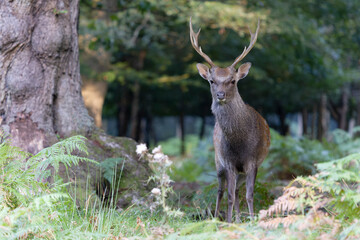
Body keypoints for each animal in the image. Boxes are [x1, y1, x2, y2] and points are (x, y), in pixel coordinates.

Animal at [188, 17, 270, 223]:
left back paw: (240, 218)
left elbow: (249, 194)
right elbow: (230, 195)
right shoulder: (229, 162)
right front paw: (229, 221)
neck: (240, 142)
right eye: (212, 81)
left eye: (232, 81)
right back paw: (217, 217)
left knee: (239, 191)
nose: (220, 95)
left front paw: (250, 220)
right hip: (218, 161)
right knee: (220, 190)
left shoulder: (253, 161)